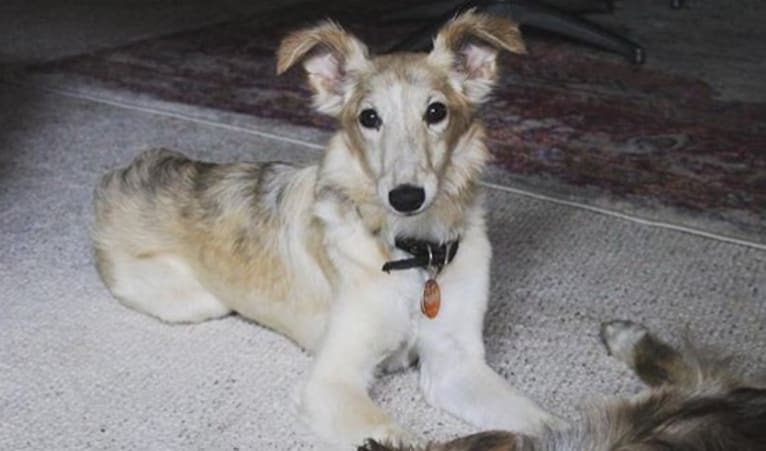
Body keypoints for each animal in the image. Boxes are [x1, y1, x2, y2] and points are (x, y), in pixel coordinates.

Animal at [91, 9, 560, 448]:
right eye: (369, 117)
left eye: (436, 112)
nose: (406, 197)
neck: (411, 254)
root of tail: (127, 170)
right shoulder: (331, 382)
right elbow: (391, 435)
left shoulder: (455, 364)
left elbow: (545, 421)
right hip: (199, 302)